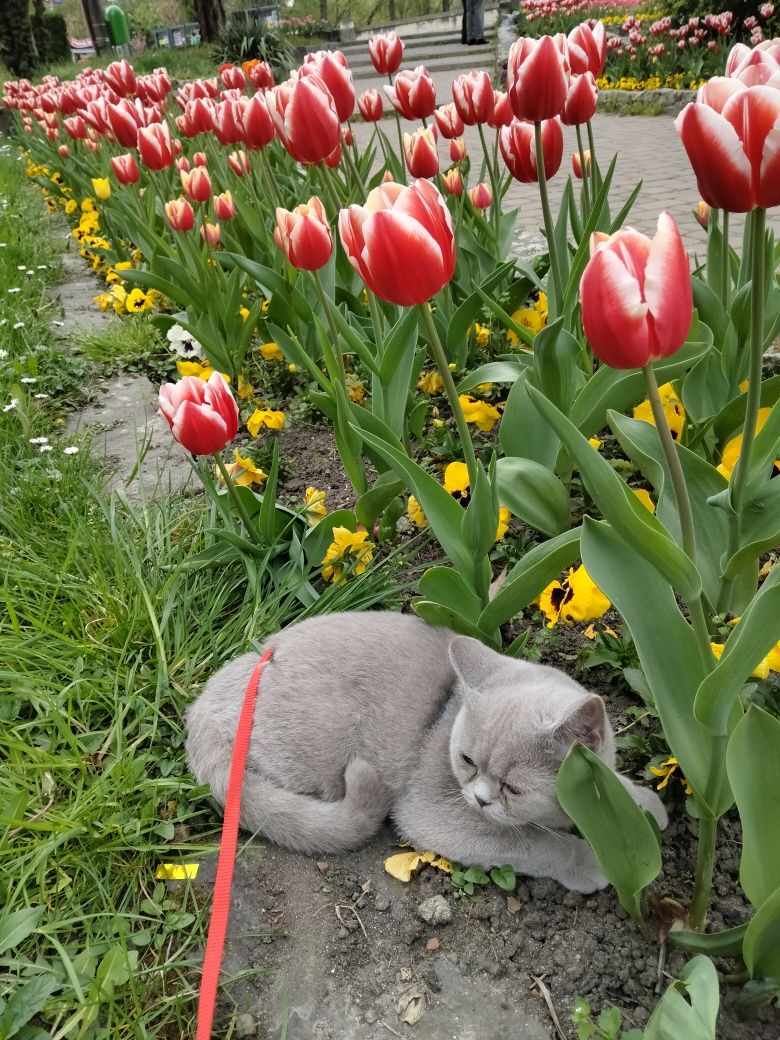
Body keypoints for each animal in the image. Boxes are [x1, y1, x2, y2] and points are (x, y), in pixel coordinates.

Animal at [186, 607, 669, 894]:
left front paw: (647, 806)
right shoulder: (433, 813)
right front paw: (596, 861)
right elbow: (533, 842)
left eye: (513, 787)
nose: (480, 798)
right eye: (467, 761)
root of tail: (203, 705)